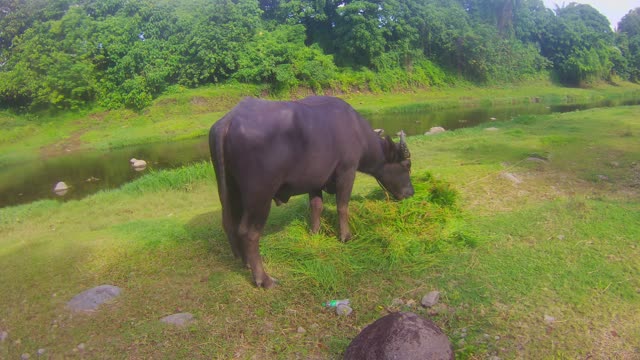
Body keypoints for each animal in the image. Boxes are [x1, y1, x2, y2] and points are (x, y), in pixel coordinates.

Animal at [210, 97, 416, 288]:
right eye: (407, 165)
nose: (411, 193)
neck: (356, 131)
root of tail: (229, 121)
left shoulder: (315, 182)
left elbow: (316, 206)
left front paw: (315, 232)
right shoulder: (347, 171)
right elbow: (342, 206)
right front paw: (346, 236)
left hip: (231, 191)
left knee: (231, 224)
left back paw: (246, 263)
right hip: (260, 196)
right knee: (248, 232)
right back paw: (264, 279)